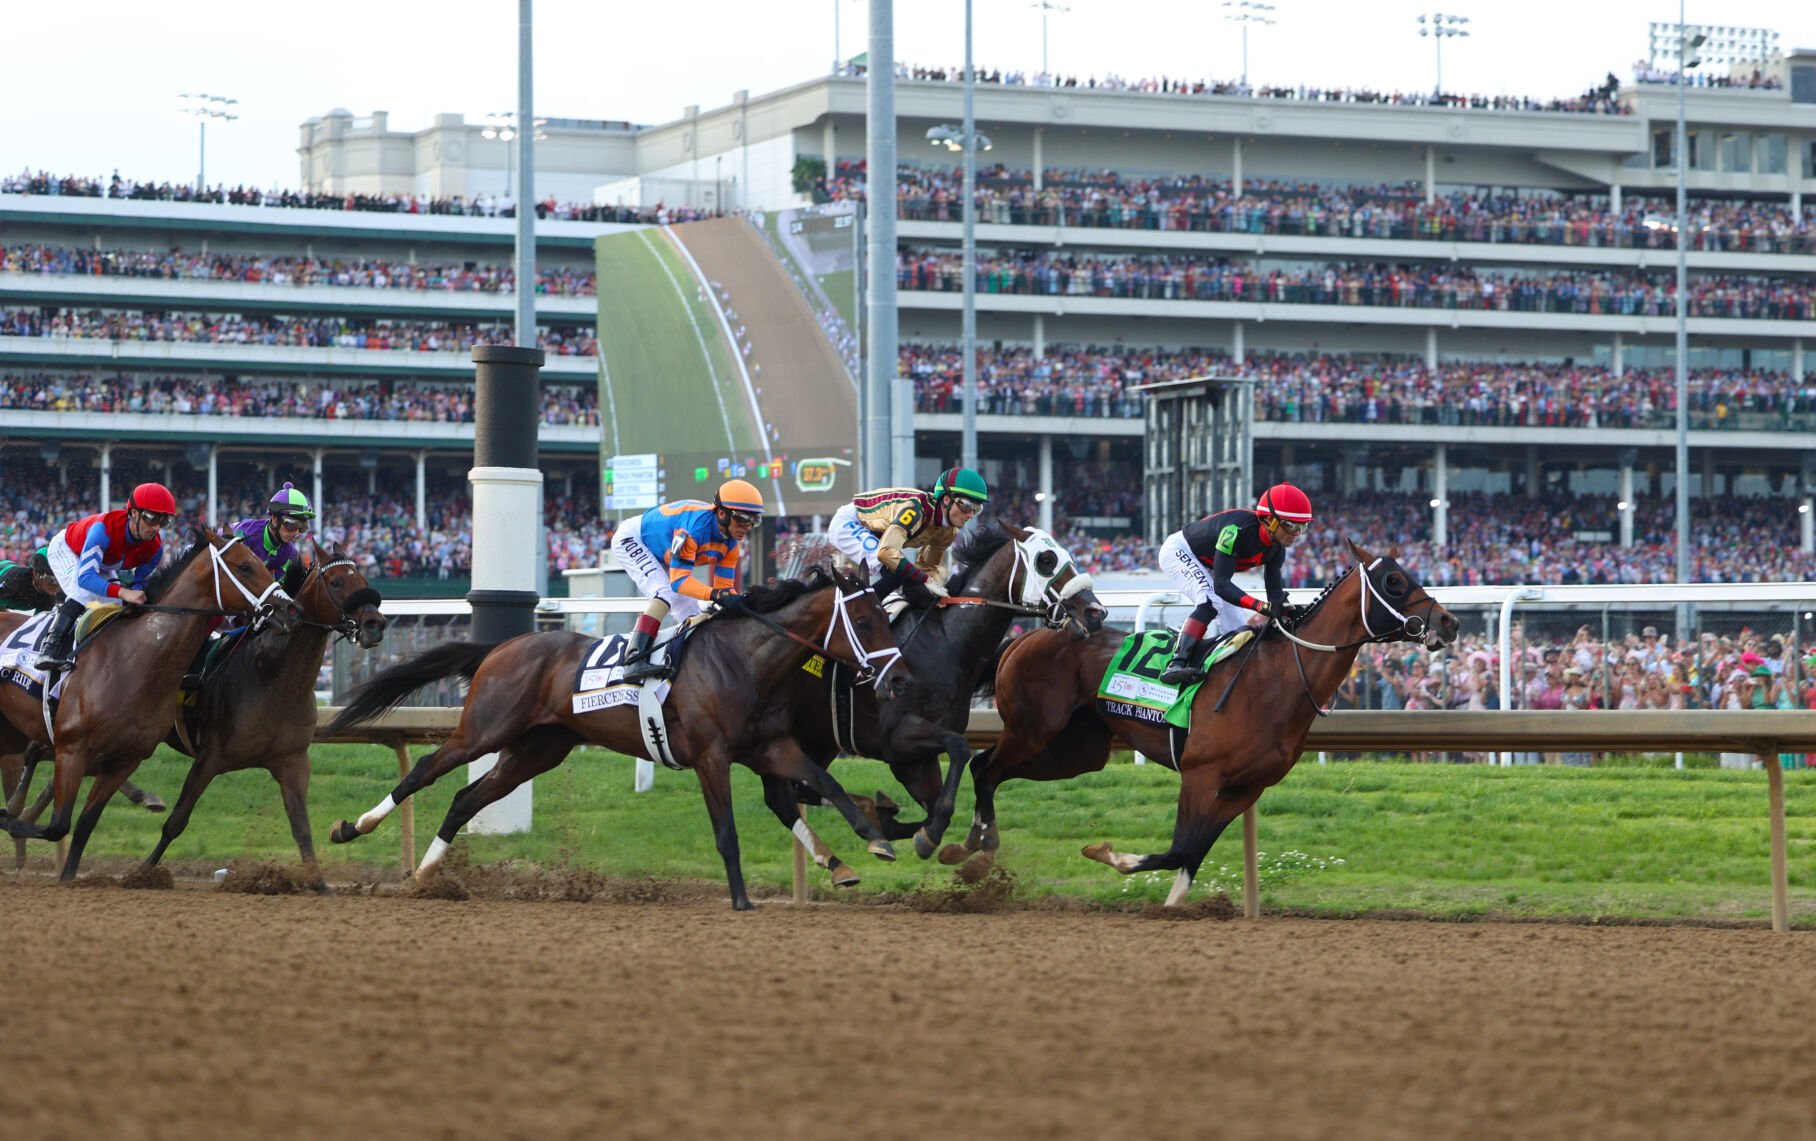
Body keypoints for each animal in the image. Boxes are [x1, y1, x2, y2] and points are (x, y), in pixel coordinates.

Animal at [0, 530, 297, 879]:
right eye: (245, 567)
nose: (291, 608)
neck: (133, 660)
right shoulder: (72, 749)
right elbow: (58, 825)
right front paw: (9, 818)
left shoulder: (124, 759)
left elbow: (84, 825)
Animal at [138, 545, 386, 890]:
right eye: (336, 582)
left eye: (362, 578)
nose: (376, 624)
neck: (272, 677)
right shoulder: (209, 757)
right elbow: (176, 821)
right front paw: (144, 870)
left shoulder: (293, 760)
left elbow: (301, 827)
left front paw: (320, 884)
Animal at [323, 566, 908, 912]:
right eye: (862, 620)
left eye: (885, 616)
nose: (900, 679)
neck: (744, 660)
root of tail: (501, 647)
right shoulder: (711, 756)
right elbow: (726, 831)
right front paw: (741, 899)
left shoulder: (770, 747)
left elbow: (826, 784)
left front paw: (868, 845)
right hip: (484, 730)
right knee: (424, 772)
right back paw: (353, 828)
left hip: (537, 750)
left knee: (467, 797)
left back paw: (427, 873)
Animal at [751, 526, 1104, 883]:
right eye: (1046, 560)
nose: (1095, 613)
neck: (945, 641)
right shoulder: (896, 739)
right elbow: (960, 751)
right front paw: (932, 837)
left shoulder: (916, 759)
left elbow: (938, 801)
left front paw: (955, 842)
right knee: (787, 794)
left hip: (817, 737)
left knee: (793, 793)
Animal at [966, 545, 1460, 908]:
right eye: (1394, 582)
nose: (1450, 621)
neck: (1276, 679)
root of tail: (1026, 637)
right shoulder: (1200, 775)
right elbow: (1178, 849)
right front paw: (1107, 853)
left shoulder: (1245, 788)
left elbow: (1190, 853)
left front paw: (1170, 901)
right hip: (1033, 730)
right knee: (984, 767)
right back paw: (976, 847)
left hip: (1074, 752)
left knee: (988, 768)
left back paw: (972, 845)